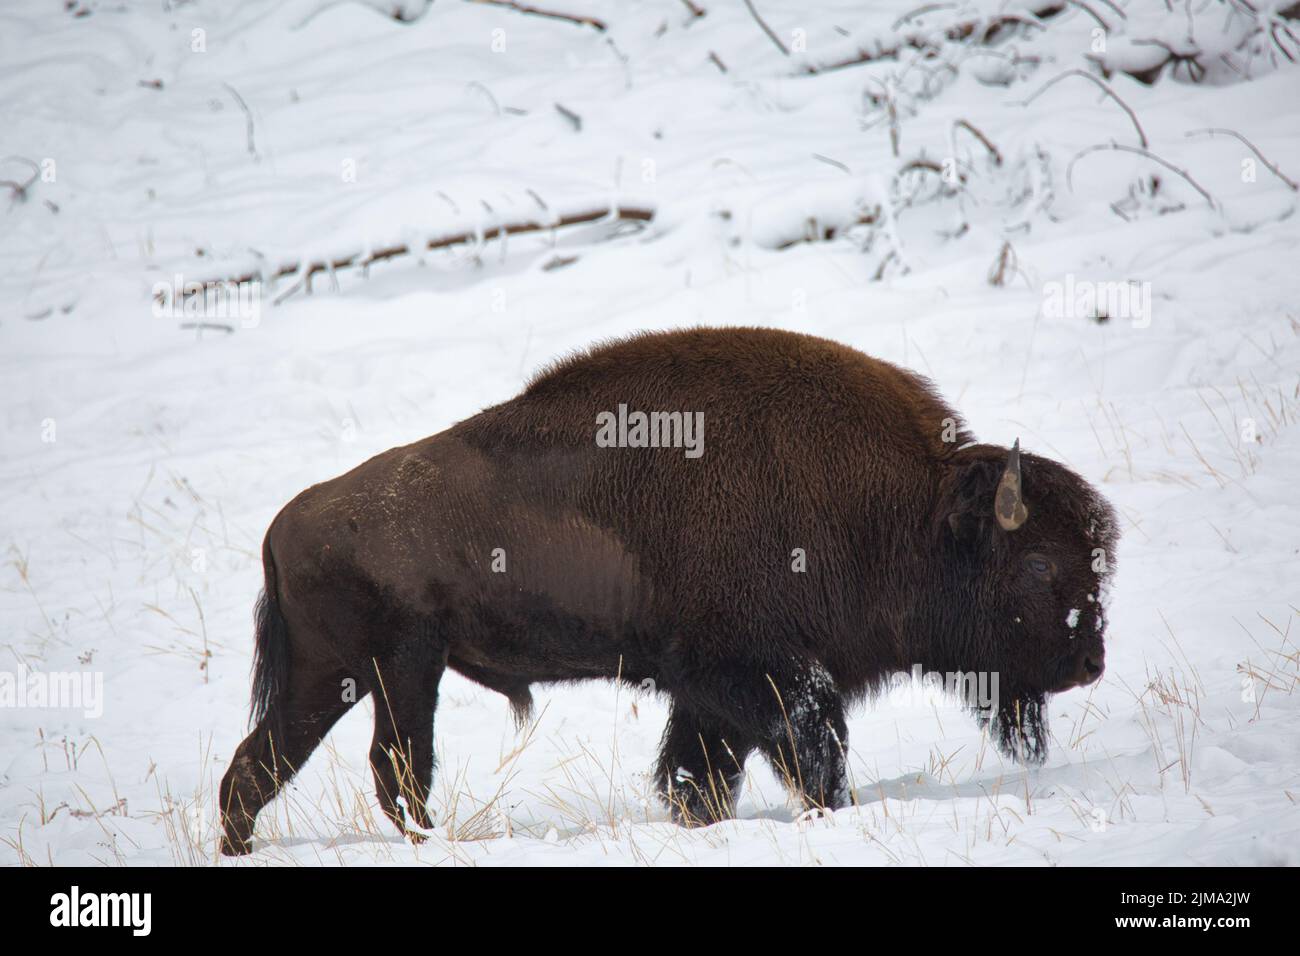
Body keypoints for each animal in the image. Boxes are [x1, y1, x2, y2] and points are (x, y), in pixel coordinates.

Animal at [219, 326, 1117, 855]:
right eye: (1040, 566)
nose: (1091, 658)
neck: (905, 508)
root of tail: (285, 523)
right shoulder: (766, 677)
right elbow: (807, 753)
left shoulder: (710, 697)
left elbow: (697, 776)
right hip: (392, 669)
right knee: (388, 770)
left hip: (348, 677)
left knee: (264, 768)